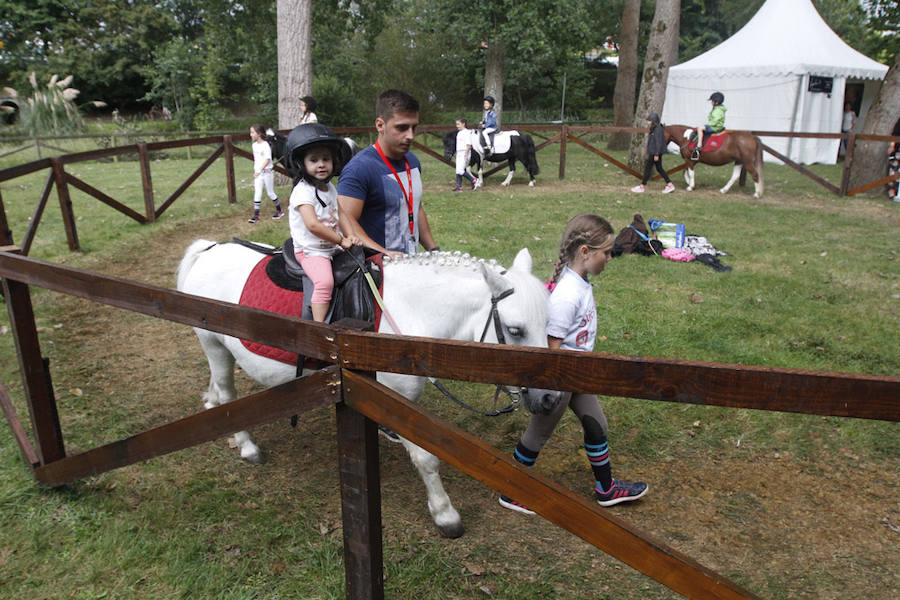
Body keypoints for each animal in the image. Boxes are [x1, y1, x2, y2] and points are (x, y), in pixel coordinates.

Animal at [175, 240, 548, 540]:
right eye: (515, 330)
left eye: (547, 324)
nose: (548, 398)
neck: (409, 310)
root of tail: (209, 249)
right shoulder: (397, 402)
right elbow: (426, 460)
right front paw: (445, 514)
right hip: (212, 342)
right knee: (227, 393)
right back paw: (247, 445)